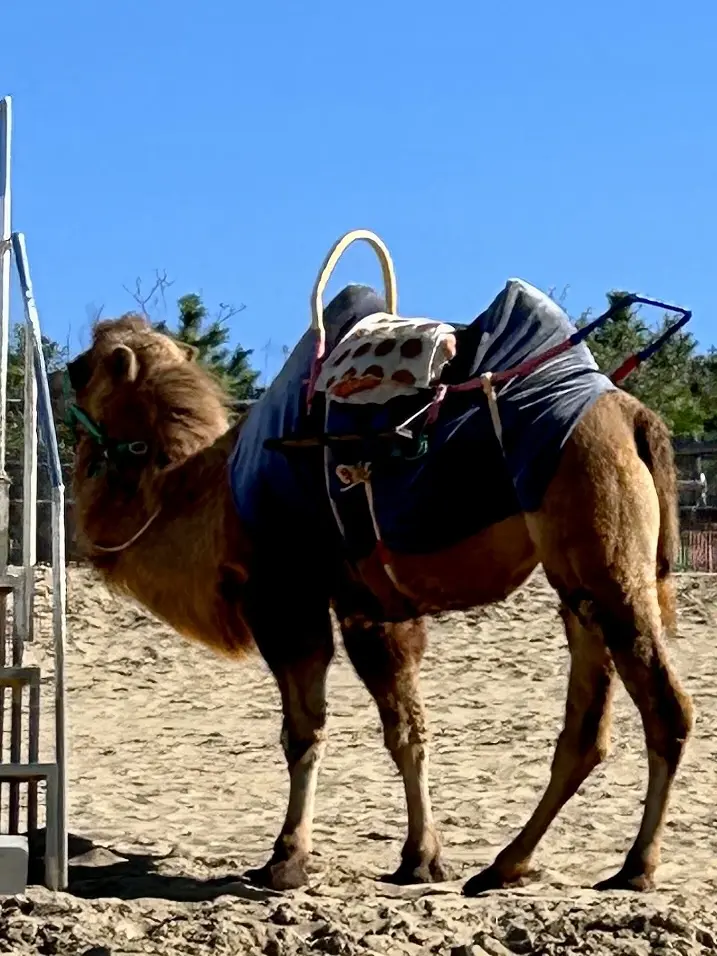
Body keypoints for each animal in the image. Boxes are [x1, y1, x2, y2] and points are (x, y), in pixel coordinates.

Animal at [56, 233, 692, 896]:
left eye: (82, 368)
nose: (55, 373)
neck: (208, 495)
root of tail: (634, 418)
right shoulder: (370, 607)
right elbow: (406, 729)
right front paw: (420, 859)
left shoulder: (286, 598)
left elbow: (303, 731)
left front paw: (285, 860)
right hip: (576, 580)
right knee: (587, 725)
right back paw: (504, 865)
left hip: (604, 553)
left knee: (666, 707)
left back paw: (635, 867)